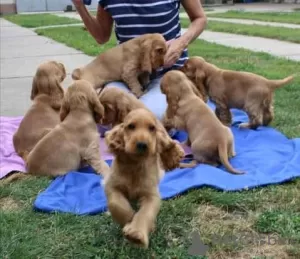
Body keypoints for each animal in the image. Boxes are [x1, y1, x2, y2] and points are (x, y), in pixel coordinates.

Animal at [103, 108, 185, 249]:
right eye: (131, 126)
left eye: (152, 128)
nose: (142, 144)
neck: (135, 164)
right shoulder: (111, 185)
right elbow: (116, 204)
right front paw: (129, 218)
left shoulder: (151, 195)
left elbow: (145, 213)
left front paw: (136, 234)